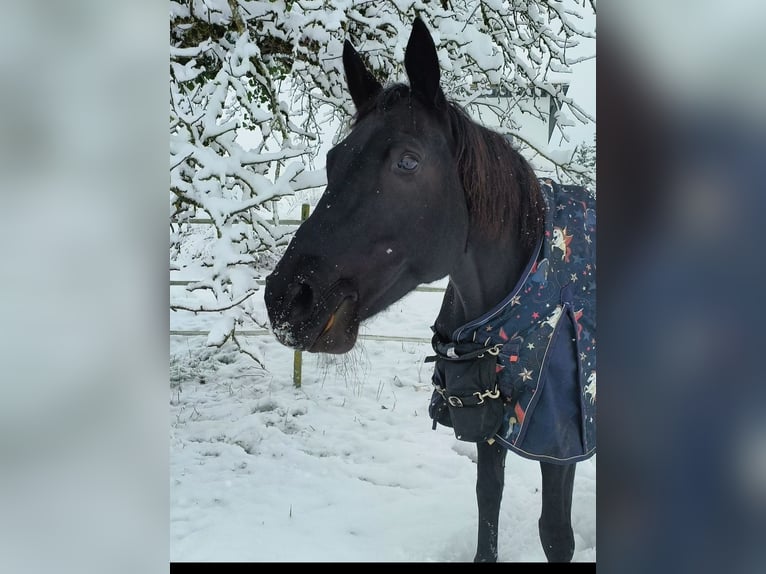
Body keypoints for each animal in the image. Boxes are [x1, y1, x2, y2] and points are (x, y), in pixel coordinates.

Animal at [265, 18, 595, 562]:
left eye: (408, 161)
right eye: (332, 160)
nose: (288, 299)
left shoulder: (559, 441)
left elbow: (556, 535)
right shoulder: (487, 420)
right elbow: (488, 502)